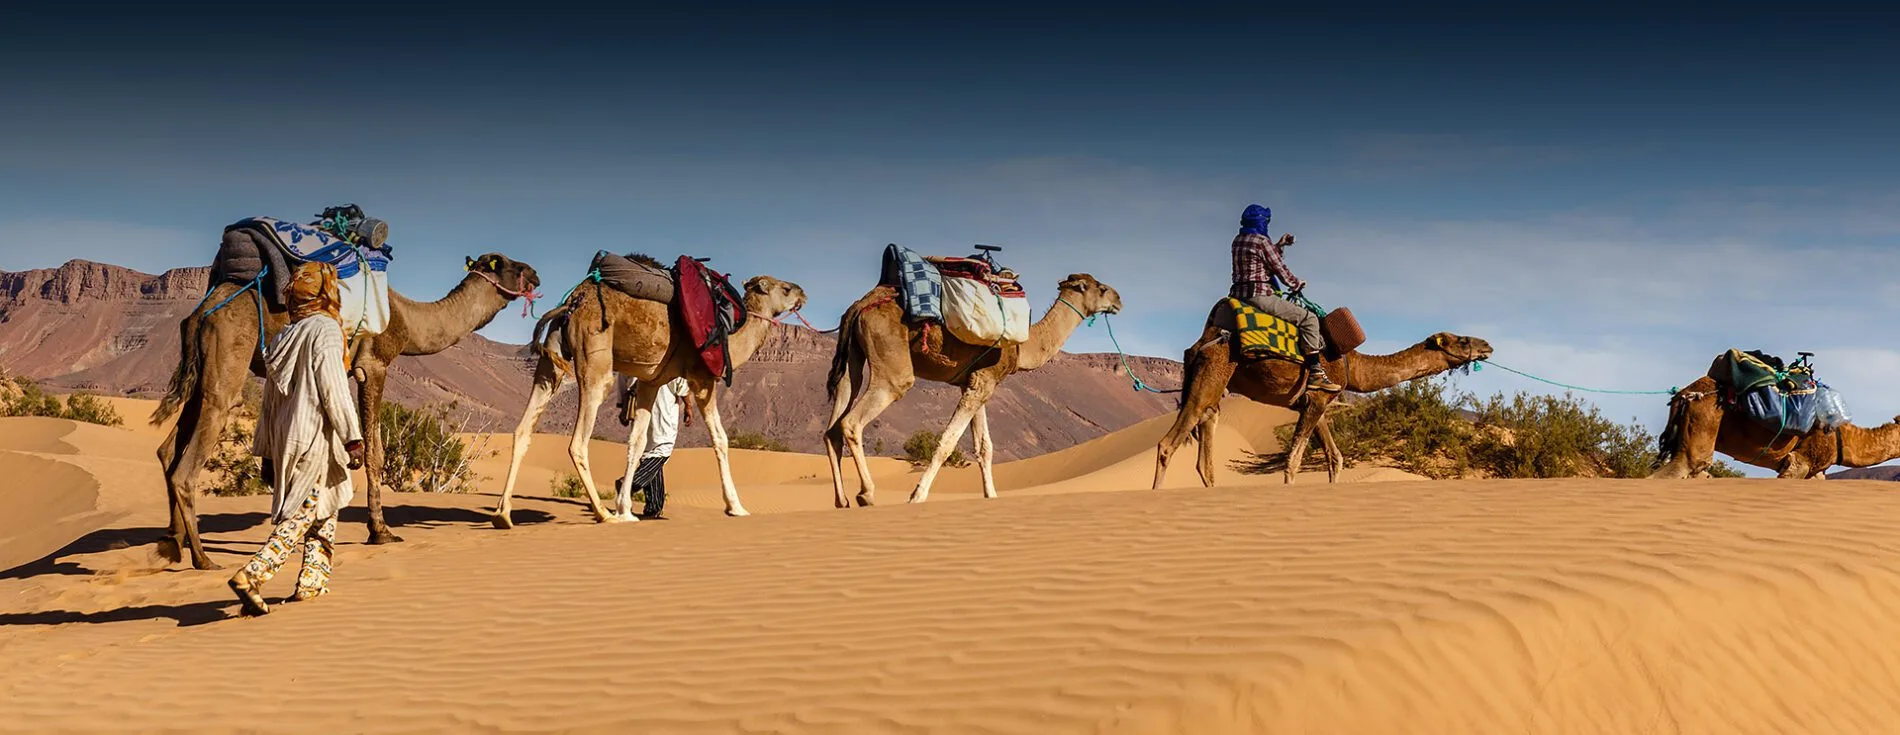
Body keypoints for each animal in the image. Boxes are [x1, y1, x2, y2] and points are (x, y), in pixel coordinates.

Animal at [151, 253, 542, 569]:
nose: (536, 274)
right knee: (191, 456)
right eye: (508, 264)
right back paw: (203, 558)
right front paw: (381, 531)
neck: (408, 317)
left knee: (169, 449)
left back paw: (174, 543)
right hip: (227, 360)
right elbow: (374, 452)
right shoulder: (374, 364)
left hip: (199, 371)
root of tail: (201, 312)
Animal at [491, 271, 807, 526]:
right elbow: (721, 440)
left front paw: (625, 509)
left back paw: (503, 514)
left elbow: (637, 442)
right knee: (578, 441)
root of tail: (572, 303)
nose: (803, 293)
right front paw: (736, 507)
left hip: (550, 362)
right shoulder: (703, 379)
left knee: (523, 429)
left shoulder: (650, 382)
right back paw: (602, 514)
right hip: (594, 359)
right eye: (785, 289)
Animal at [822, 273, 1124, 507]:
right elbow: (947, 442)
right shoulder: (982, 383)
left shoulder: (976, 382)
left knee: (833, 426)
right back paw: (867, 494)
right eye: (1101, 288)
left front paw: (991, 496)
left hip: (852, 359)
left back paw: (842, 500)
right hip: (891, 364)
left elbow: (984, 447)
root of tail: (861, 304)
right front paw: (917, 496)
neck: (1024, 347)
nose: (1119, 300)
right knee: (853, 421)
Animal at [1153, 328, 1493, 488]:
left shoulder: (1315, 403)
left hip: (1215, 387)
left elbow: (1335, 457)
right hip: (1211, 374)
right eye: (1463, 340)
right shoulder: (1316, 400)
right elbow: (1293, 460)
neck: (1353, 367)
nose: (1487, 345)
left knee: (1205, 447)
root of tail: (1197, 346)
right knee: (1168, 443)